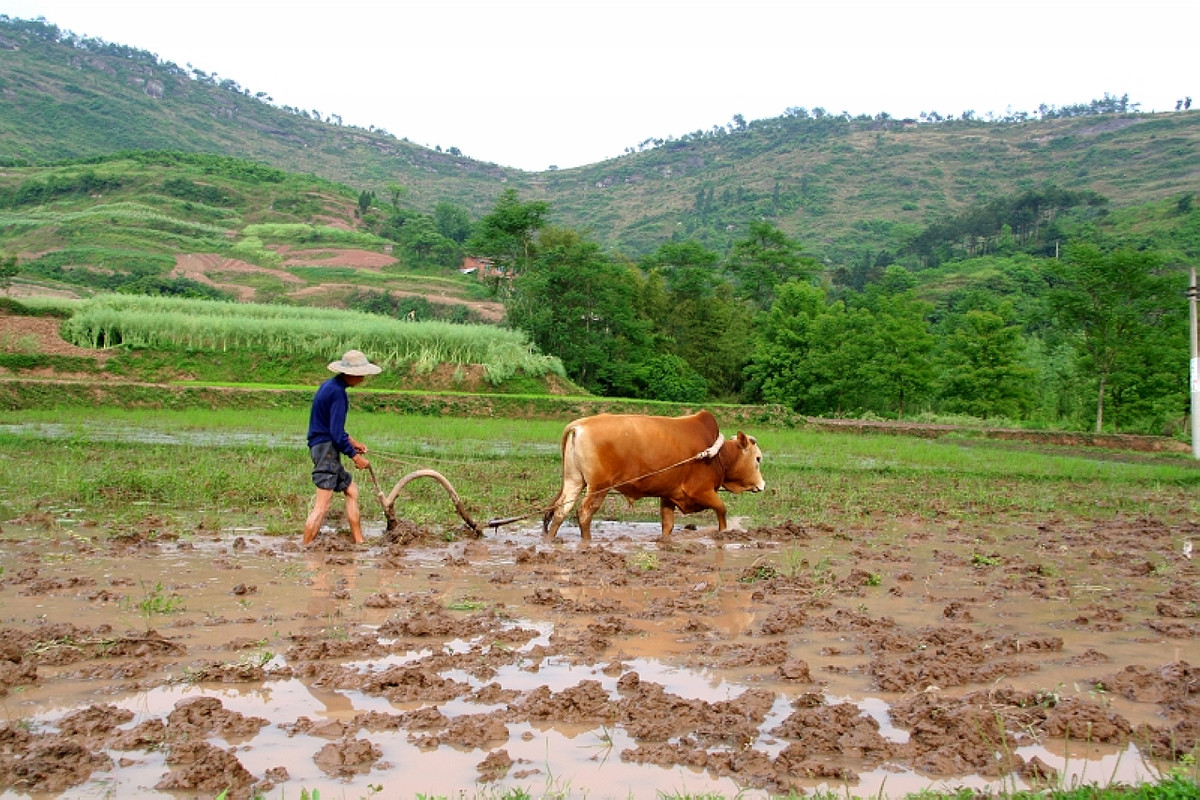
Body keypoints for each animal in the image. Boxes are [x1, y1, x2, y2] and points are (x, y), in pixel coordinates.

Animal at [542, 412, 763, 537]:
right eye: (758, 459)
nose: (762, 485)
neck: (717, 454)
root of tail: (580, 425)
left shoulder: (669, 496)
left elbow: (668, 526)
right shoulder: (701, 491)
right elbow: (722, 510)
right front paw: (724, 535)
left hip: (574, 481)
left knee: (561, 511)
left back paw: (550, 541)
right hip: (598, 487)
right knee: (584, 514)